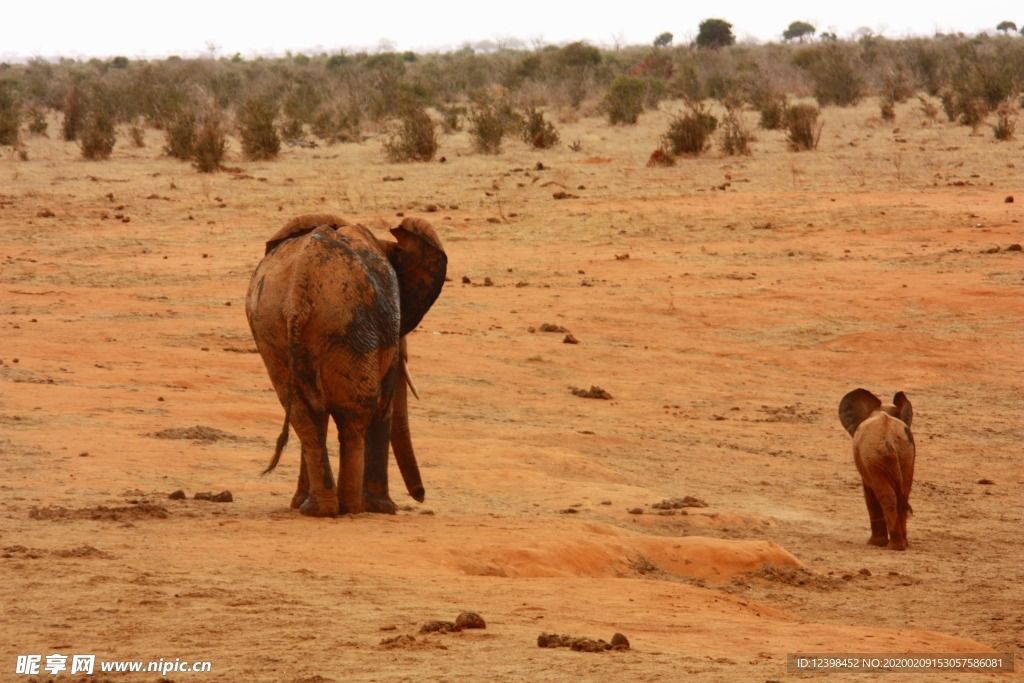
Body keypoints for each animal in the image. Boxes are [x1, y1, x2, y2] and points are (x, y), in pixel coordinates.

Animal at [245, 214, 446, 518]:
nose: (420, 495)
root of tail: (298, 289)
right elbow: (384, 404)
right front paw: (384, 508)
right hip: (350, 329)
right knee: (355, 415)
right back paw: (352, 508)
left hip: (273, 333)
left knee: (305, 417)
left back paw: (316, 508)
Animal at [835, 389, 917, 548]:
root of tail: (889, 441)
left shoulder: (867, 465)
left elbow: (869, 493)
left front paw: (874, 544)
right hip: (906, 455)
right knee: (903, 493)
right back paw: (904, 545)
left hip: (875, 459)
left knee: (887, 496)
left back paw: (894, 547)